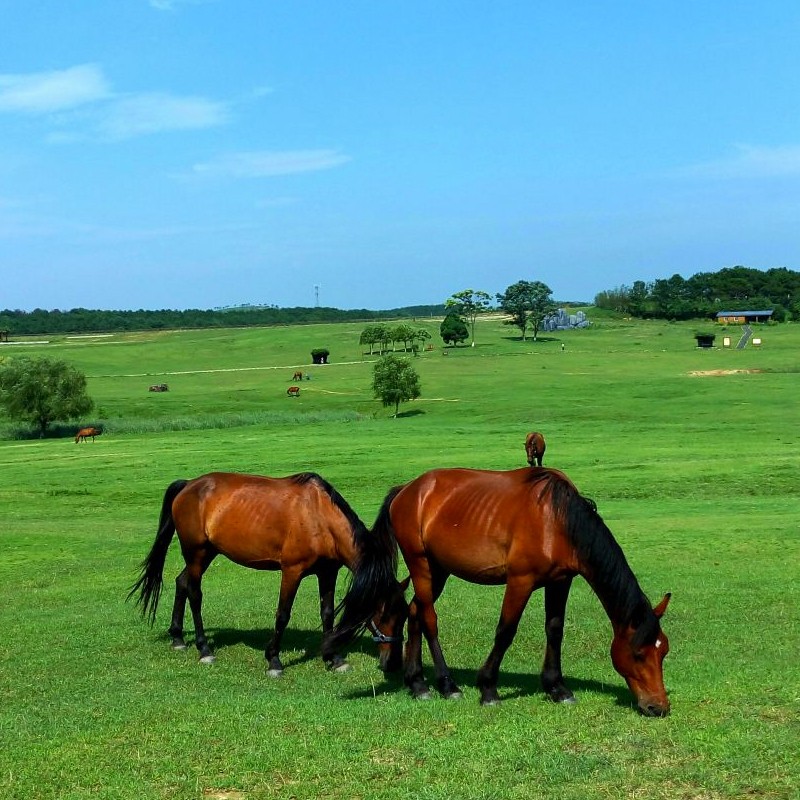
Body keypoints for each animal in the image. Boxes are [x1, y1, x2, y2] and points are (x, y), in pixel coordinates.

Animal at [130, 472, 410, 680]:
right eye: (386, 615)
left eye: (405, 615)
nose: (394, 663)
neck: (318, 516)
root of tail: (189, 485)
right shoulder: (292, 571)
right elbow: (282, 615)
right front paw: (274, 660)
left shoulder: (327, 573)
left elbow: (327, 613)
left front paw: (334, 658)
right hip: (196, 552)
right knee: (195, 593)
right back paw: (204, 649)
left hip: (206, 553)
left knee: (182, 583)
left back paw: (177, 637)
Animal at [324, 466, 668, 716]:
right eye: (638, 654)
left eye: (663, 651)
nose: (658, 706)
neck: (556, 520)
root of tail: (407, 490)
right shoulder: (520, 580)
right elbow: (506, 631)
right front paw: (488, 688)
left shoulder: (560, 581)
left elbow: (554, 630)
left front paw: (557, 687)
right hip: (421, 564)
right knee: (429, 618)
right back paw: (447, 685)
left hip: (438, 569)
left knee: (414, 612)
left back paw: (418, 682)